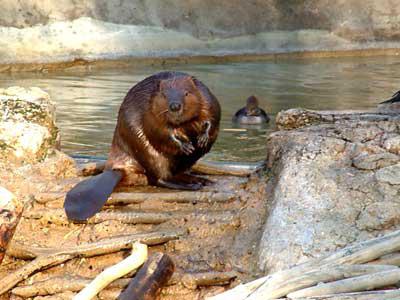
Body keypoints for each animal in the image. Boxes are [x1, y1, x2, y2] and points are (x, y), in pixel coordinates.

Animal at [66, 70, 222, 220]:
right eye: (164, 95)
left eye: (186, 93)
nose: (175, 106)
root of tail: (116, 169)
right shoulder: (150, 110)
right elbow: (160, 130)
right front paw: (186, 145)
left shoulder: (207, 98)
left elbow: (212, 117)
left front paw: (202, 139)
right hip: (146, 151)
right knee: (159, 178)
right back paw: (193, 186)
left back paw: (203, 180)